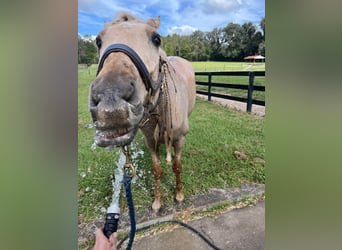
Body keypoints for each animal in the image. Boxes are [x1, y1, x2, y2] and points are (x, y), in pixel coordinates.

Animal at [89, 13, 196, 213]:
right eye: (98, 41)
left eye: (156, 39)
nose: (111, 103)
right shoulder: (150, 141)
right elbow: (157, 170)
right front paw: (157, 202)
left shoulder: (179, 139)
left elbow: (177, 166)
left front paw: (179, 195)